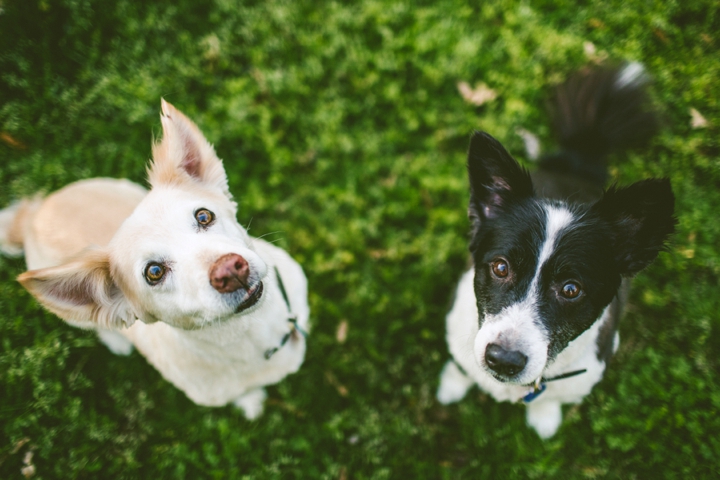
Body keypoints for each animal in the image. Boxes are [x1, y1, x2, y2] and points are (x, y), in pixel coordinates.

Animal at [436, 63, 676, 438]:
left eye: (571, 289)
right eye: (501, 267)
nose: (503, 360)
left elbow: (551, 400)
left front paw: (544, 418)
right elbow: (461, 366)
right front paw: (451, 385)